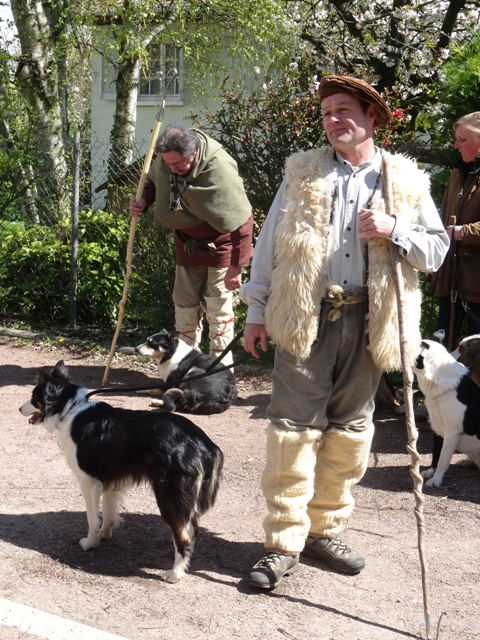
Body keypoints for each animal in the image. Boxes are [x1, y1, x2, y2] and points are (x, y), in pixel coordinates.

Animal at [19, 362, 224, 584]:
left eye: (34, 396)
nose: (19, 408)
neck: (69, 408)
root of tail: (206, 445)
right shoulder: (110, 480)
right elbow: (108, 512)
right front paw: (105, 534)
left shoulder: (88, 482)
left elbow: (92, 517)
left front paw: (90, 542)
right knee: (192, 529)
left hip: (170, 496)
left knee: (184, 536)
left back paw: (175, 573)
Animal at [410, 340, 480, 484]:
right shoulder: (437, 427)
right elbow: (436, 453)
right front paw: (431, 472)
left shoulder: (451, 432)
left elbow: (442, 458)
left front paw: (436, 480)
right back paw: (466, 462)